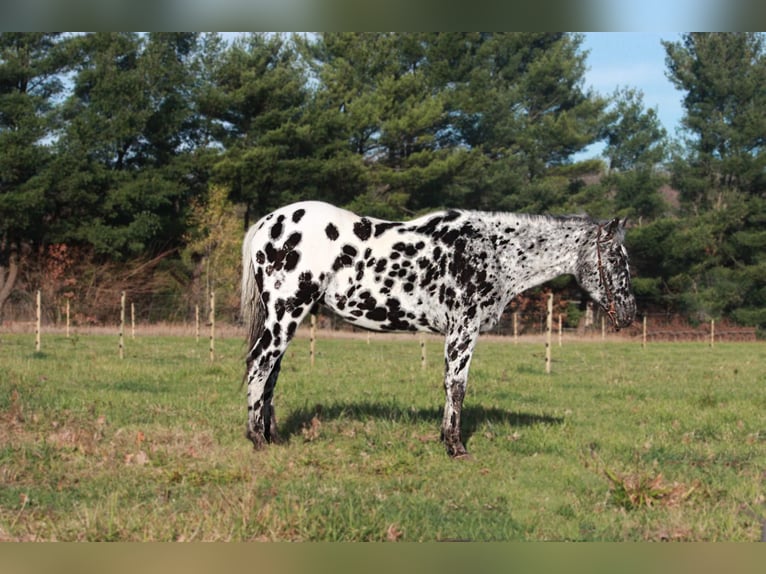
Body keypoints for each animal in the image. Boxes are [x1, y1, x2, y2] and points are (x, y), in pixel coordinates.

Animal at [243, 201, 640, 460]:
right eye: (616, 258)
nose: (629, 313)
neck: (492, 251)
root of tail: (267, 223)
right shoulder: (464, 328)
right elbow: (457, 385)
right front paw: (455, 446)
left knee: (272, 372)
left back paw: (271, 435)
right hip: (286, 313)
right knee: (259, 365)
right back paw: (256, 438)